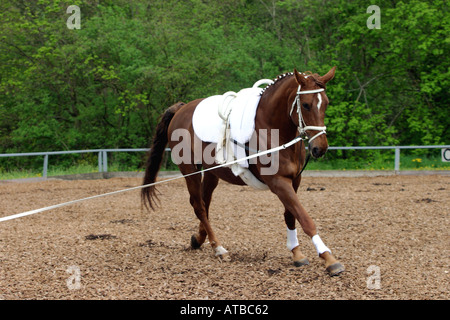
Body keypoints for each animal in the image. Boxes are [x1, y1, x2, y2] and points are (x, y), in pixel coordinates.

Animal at [141, 67, 344, 276]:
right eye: (305, 105)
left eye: (326, 103)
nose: (320, 148)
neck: (273, 129)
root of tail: (181, 109)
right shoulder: (278, 182)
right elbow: (305, 218)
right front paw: (329, 259)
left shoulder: (295, 180)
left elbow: (291, 215)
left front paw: (296, 253)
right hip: (189, 169)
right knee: (199, 206)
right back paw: (218, 248)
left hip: (212, 172)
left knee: (204, 203)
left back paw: (199, 240)